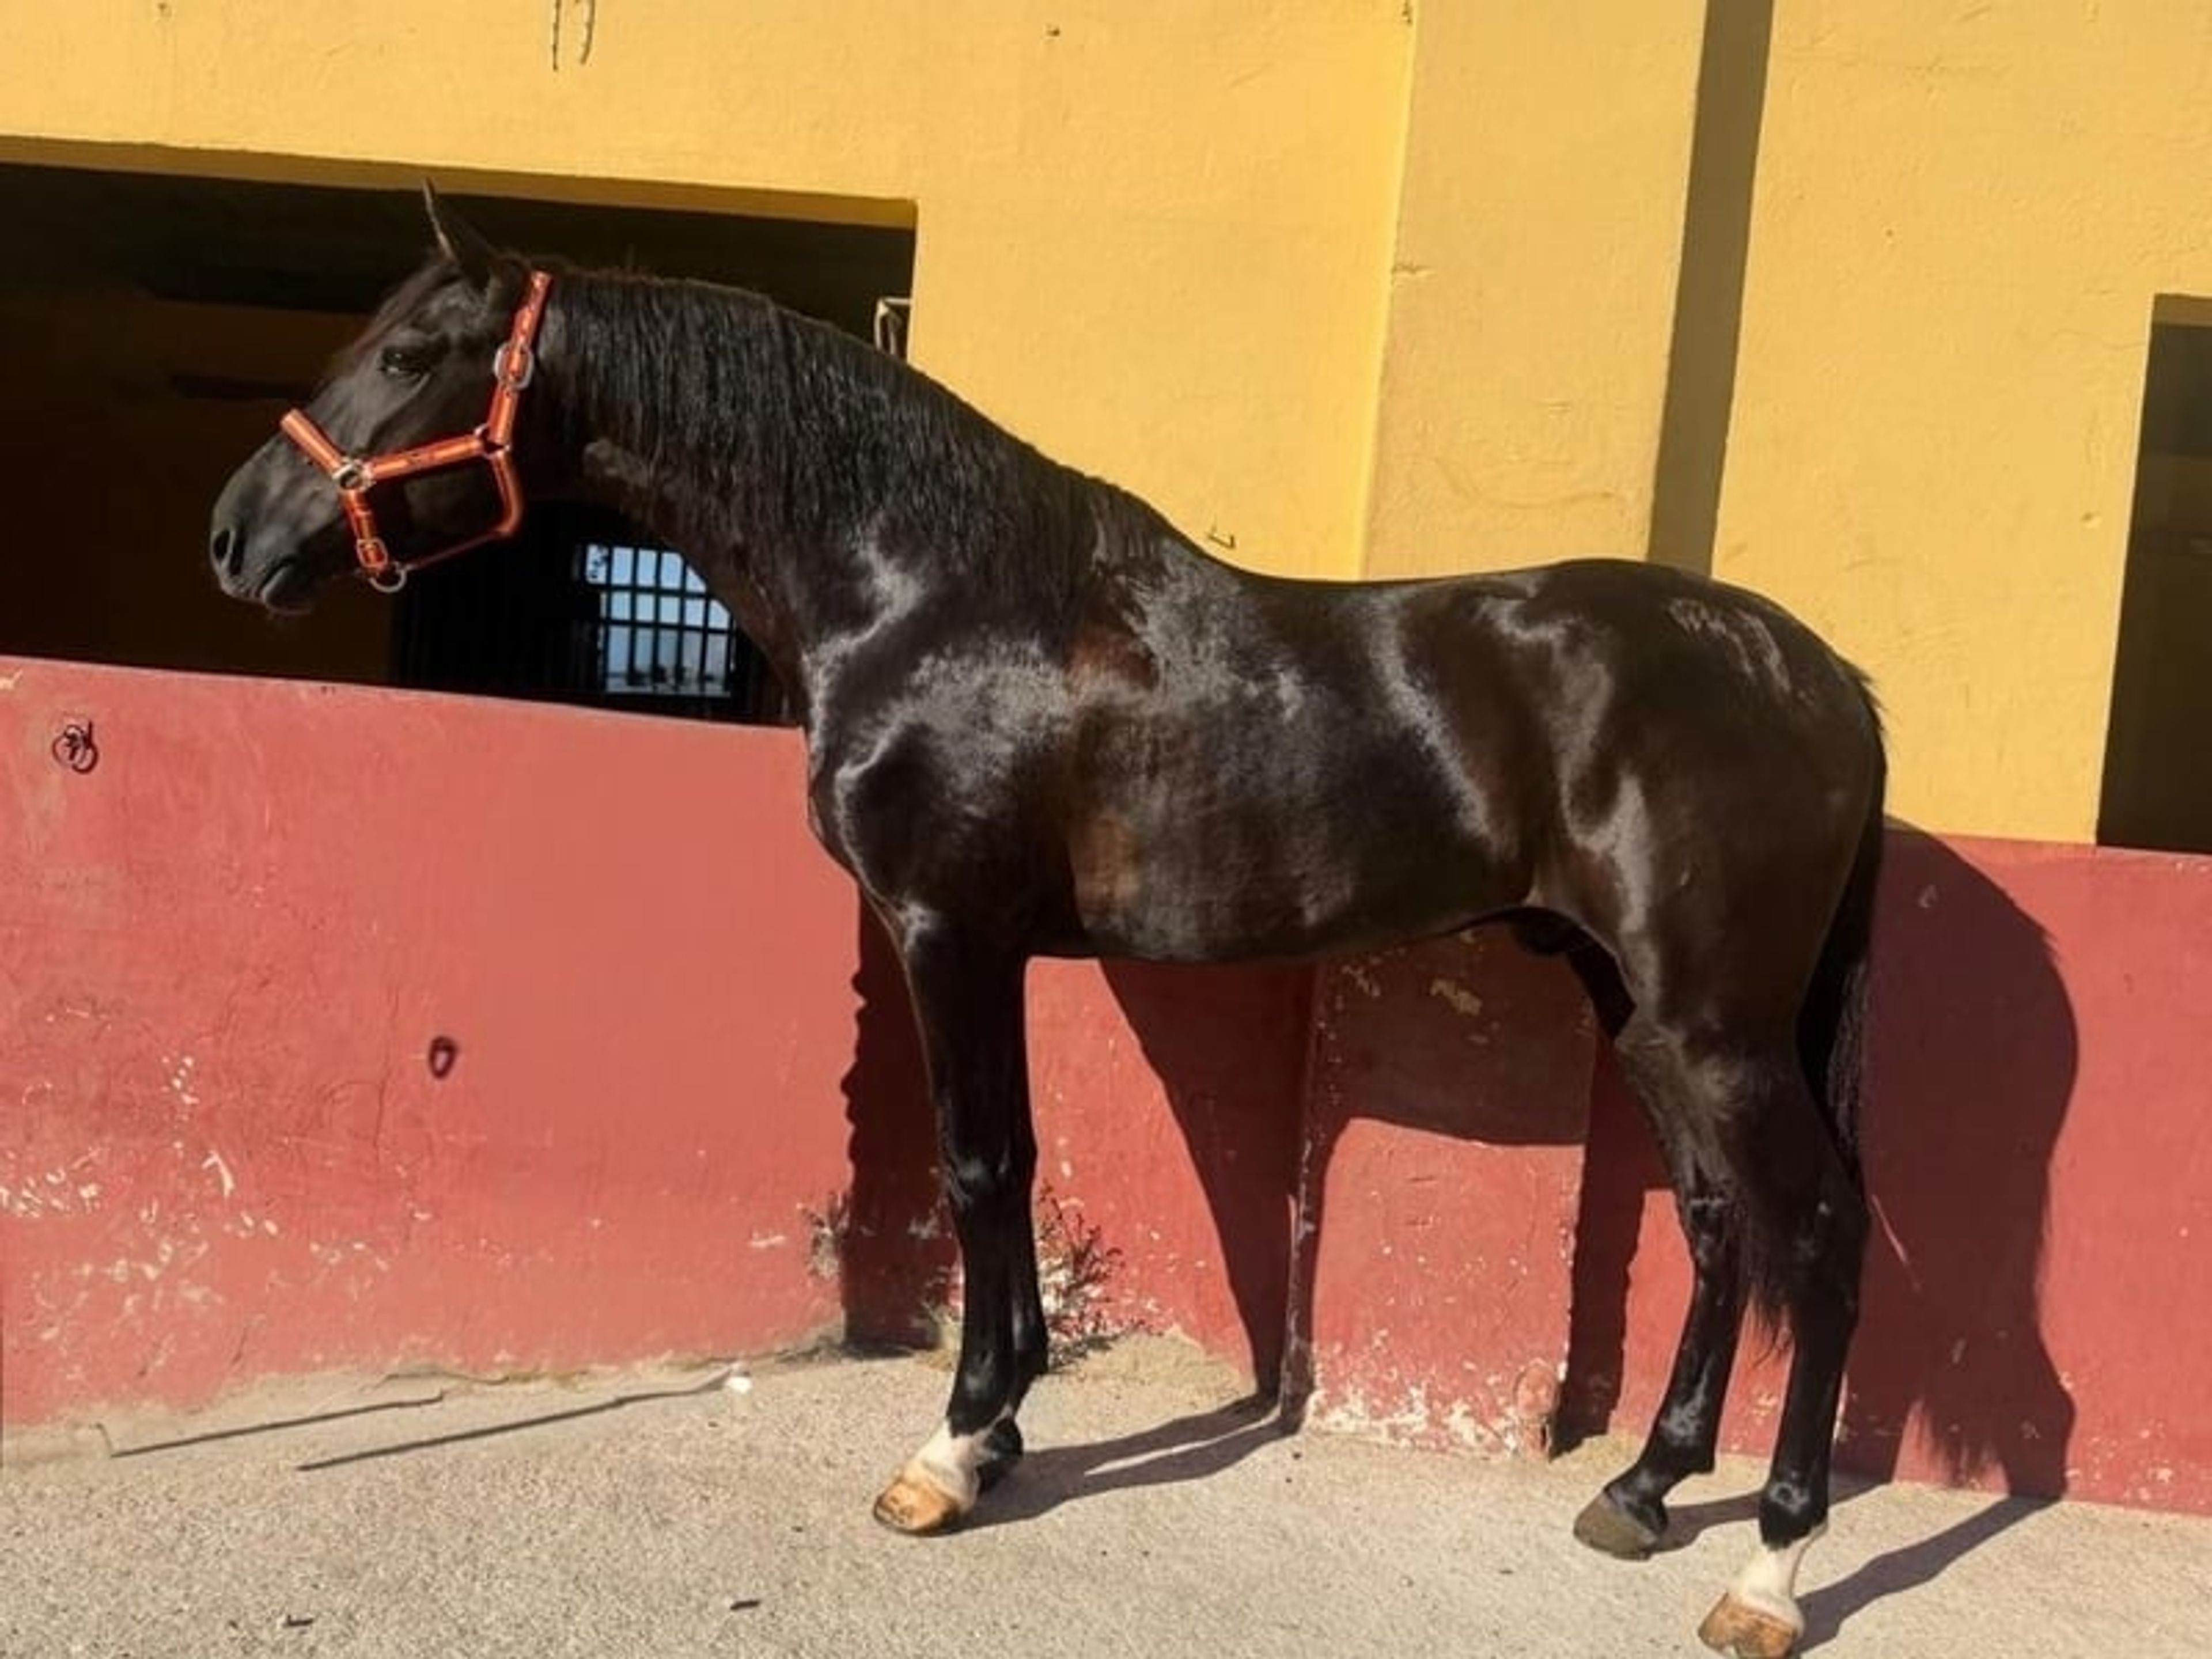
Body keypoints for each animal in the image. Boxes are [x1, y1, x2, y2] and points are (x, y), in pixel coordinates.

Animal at [208, 185, 1887, 1659]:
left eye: (411, 356)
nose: (235, 534)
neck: (935, 598)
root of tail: (1820, 677)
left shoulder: (945, 928)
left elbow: (973, 1166)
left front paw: (951, 1450)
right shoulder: (985, 943)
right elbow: (1009, 1163)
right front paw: (1002, 1426)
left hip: (1715, 1024)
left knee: (1816, 1231)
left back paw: (1768, 1571)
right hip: (1641, 1009)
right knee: (1722, 1224)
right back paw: (1642, 1489)